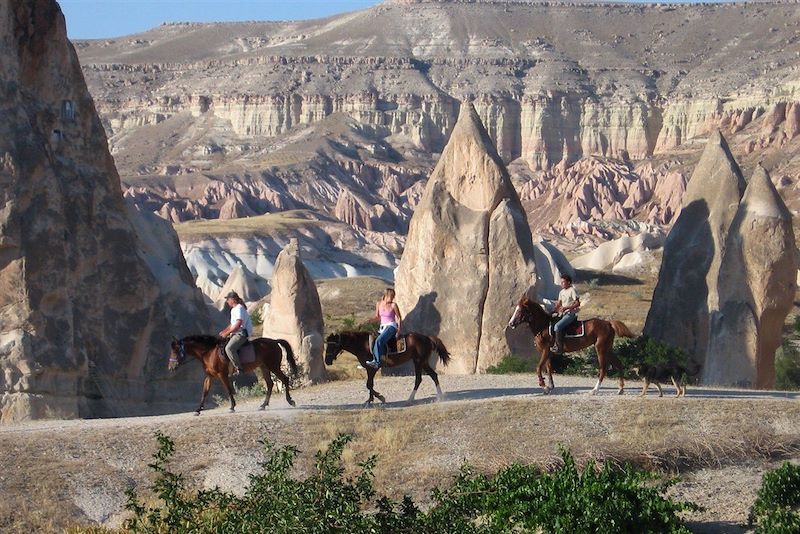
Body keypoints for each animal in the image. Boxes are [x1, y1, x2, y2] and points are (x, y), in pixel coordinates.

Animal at [167, 338, 298, 416]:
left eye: (175, 351)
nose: (170, 367)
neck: (208, 353)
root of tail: (274, 341)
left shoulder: (222, 375)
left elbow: (228, 390)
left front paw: (232, 407)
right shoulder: (209, 376)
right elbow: (205, 392)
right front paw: (198, 410)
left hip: (273, 366)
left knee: (285, 379)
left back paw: (290, 401)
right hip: (264, 367)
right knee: (270, 384)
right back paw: (263, 405)